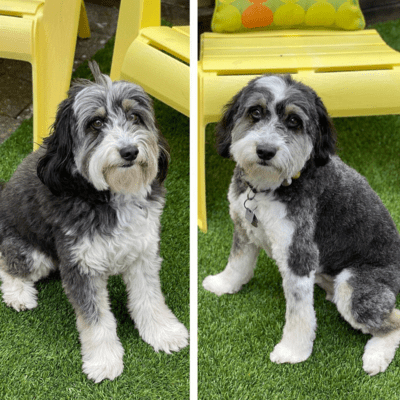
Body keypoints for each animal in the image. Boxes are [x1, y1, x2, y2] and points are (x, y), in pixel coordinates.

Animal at [0, 61, 188, 382]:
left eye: (135, 117)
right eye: (96, 124)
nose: (130, 151)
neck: (110, 195)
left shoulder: (143, 252)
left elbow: (150, 299)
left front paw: (164, 333)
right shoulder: (80, 265)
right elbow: (96, 319)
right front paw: (104, 361)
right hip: (32, 253)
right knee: (7, 263)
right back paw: (19, 295)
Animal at [205, 74, 400, 376]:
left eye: (294, 121)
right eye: (255, 112)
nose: (265, 151)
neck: (269, 188)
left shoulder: (298, 254)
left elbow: (298, 312)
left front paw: (292, 352)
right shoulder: (244, 229)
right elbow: (237, 263)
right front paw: (223, 284)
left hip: (354, 286)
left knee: (394, 321)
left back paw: (376, 356)